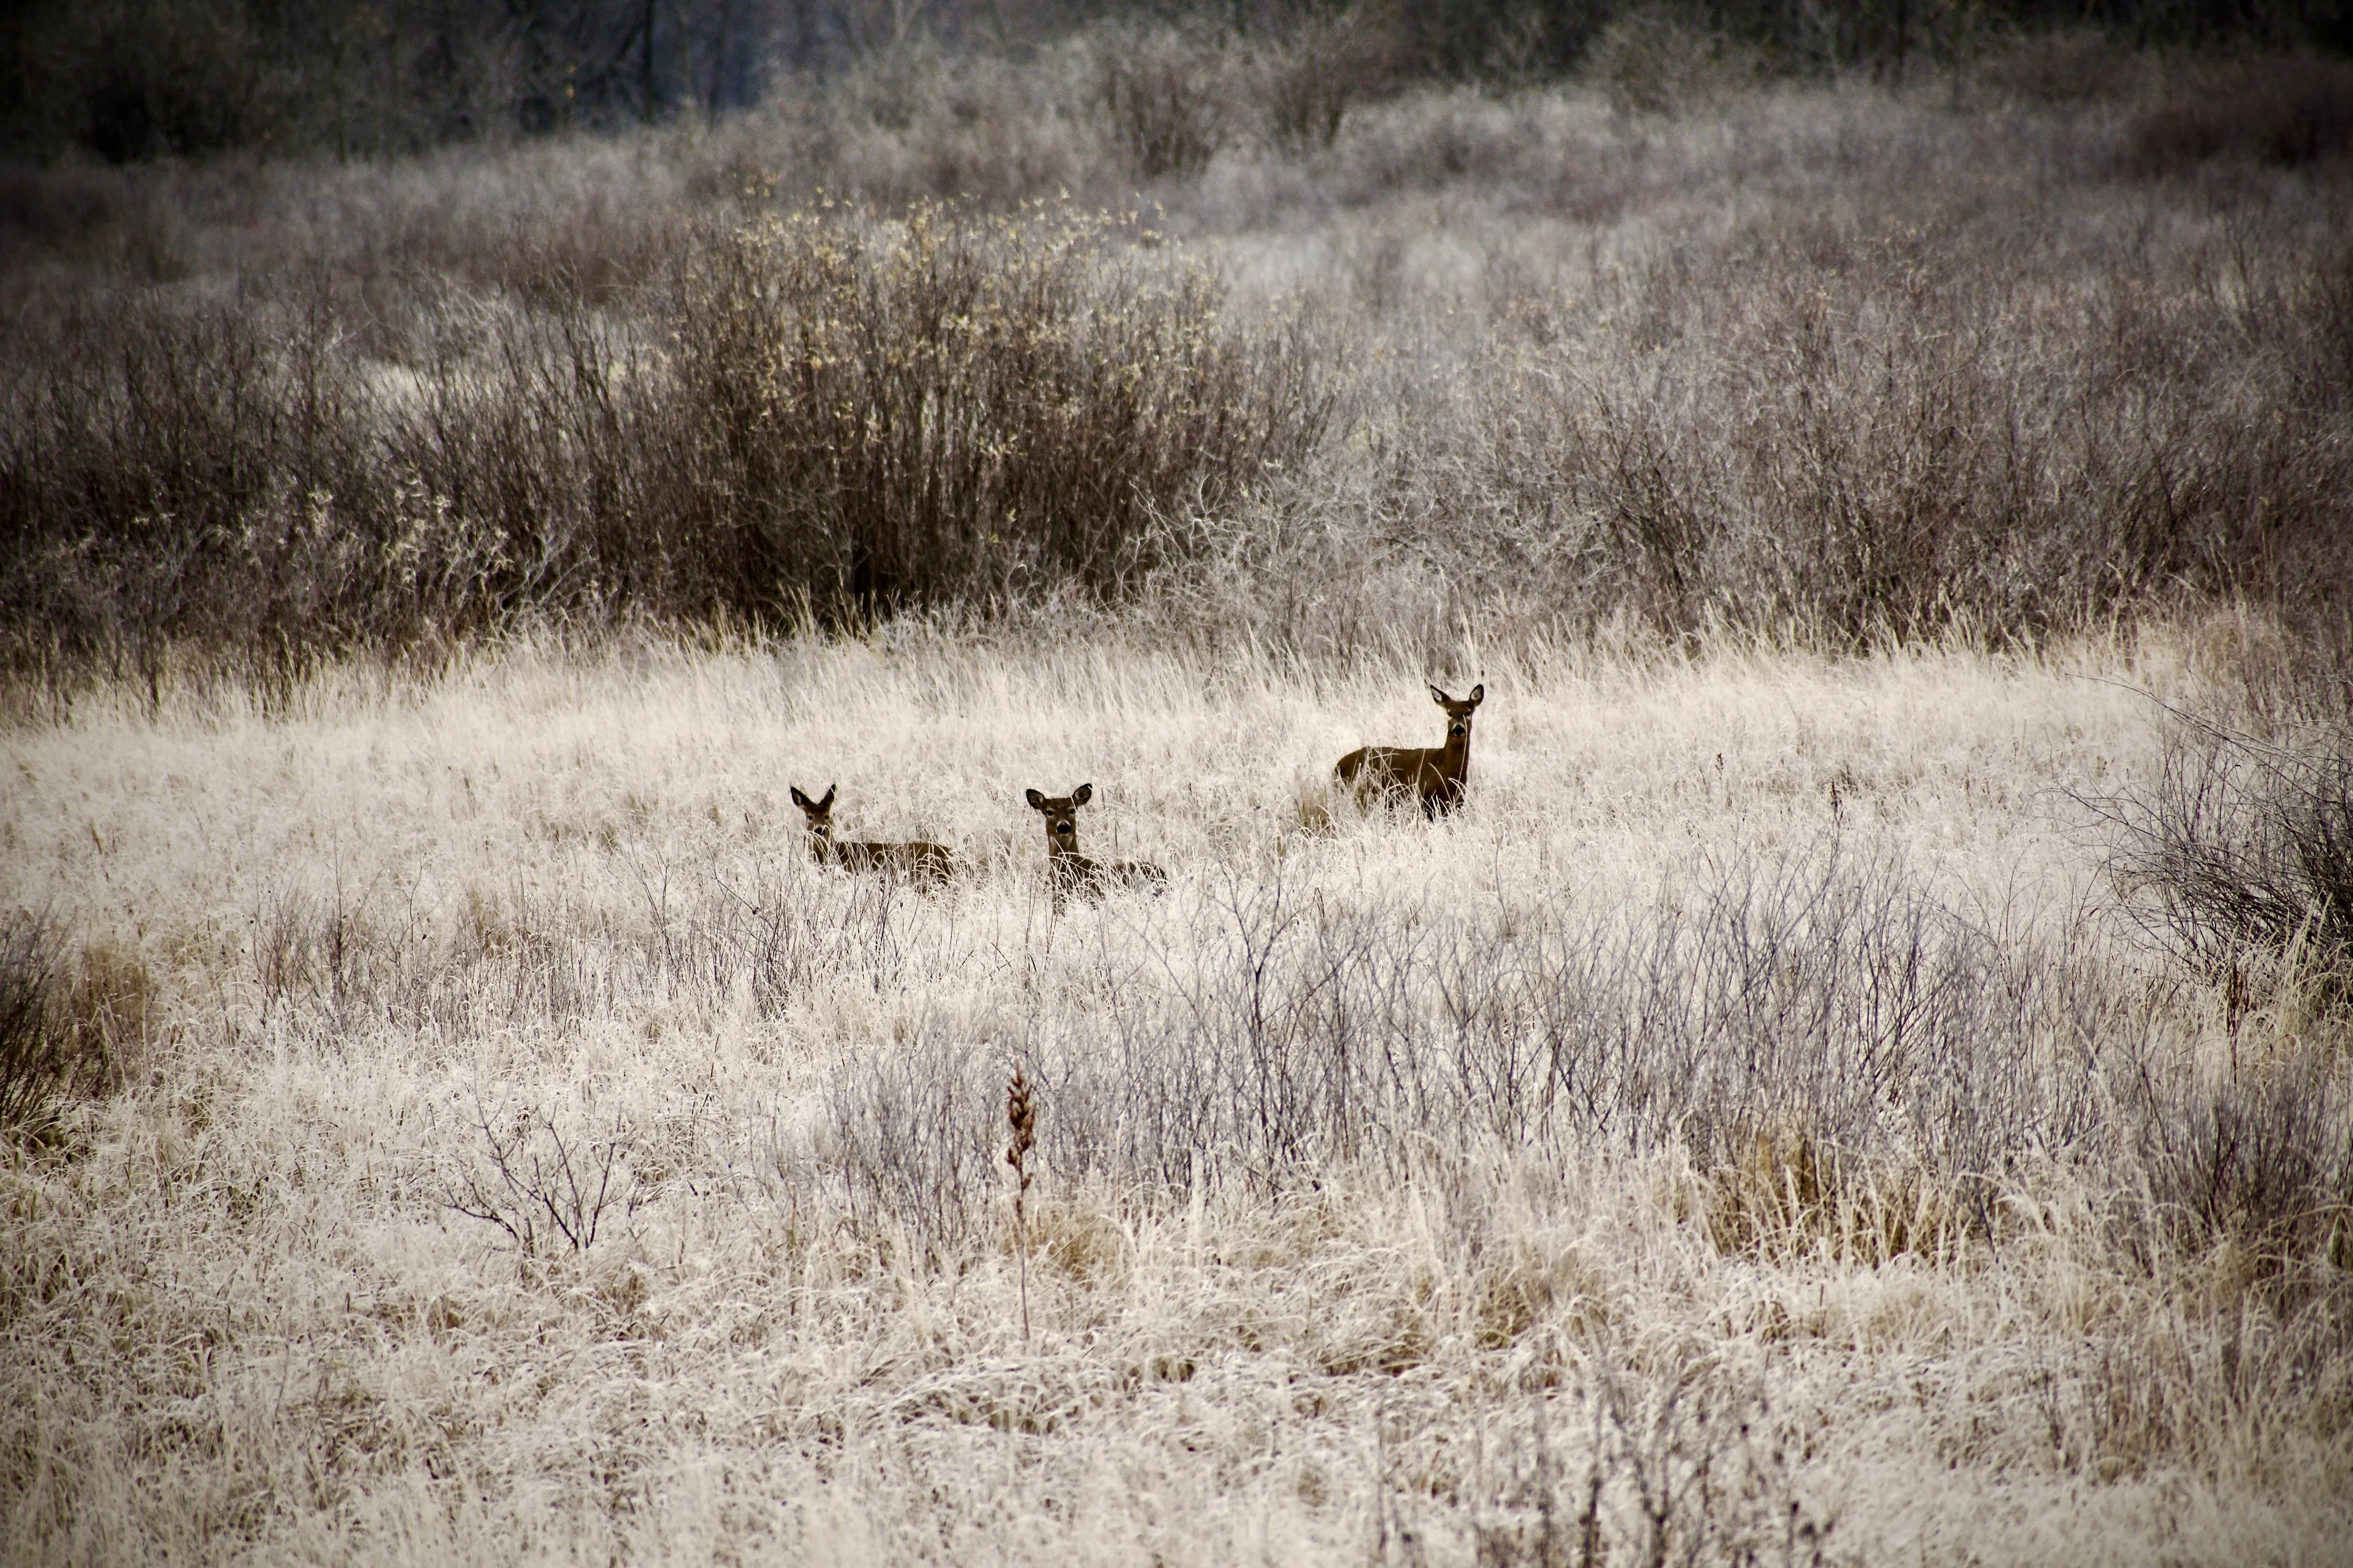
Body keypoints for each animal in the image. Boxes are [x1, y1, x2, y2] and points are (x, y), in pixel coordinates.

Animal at [1334, 683, 1485, 818]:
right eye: (1450, 713)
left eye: (1468, 712)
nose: (1458, 729)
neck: (1444, 769)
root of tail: (1338, 766)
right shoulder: (1424, 800)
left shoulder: (1455, 803)